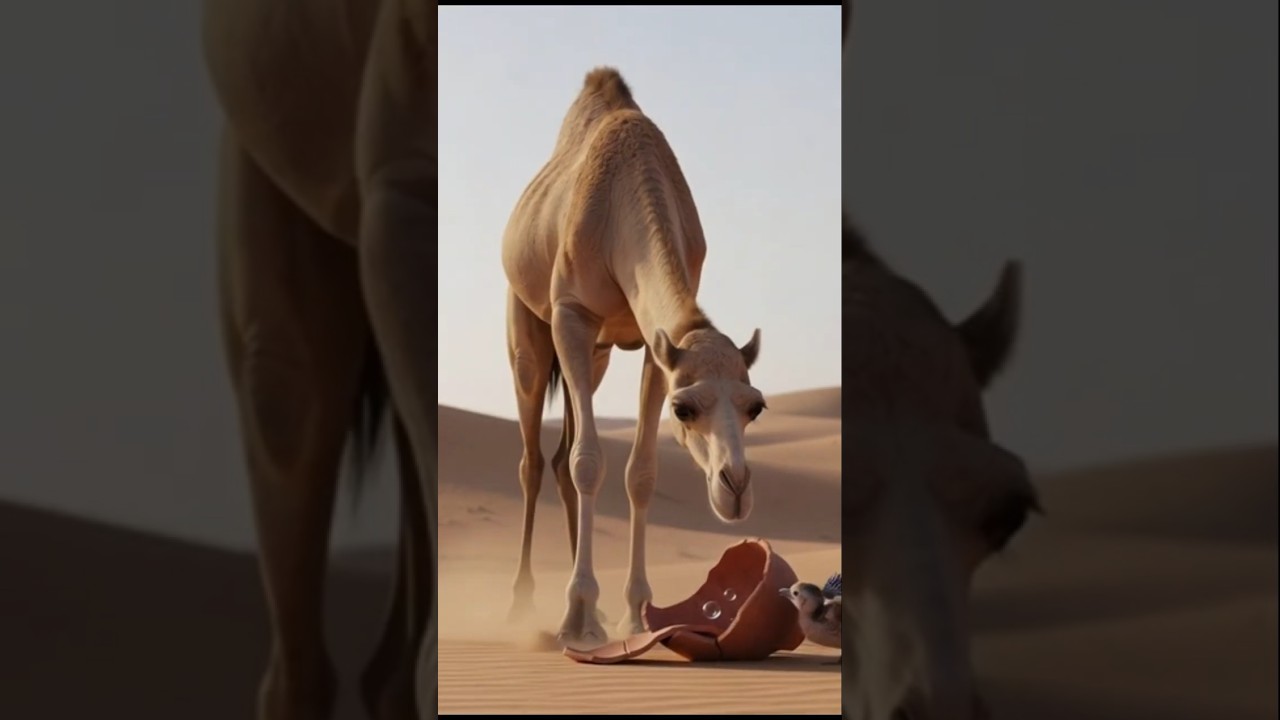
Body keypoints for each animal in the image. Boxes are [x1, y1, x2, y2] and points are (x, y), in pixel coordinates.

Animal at [500, 68, 767, 647]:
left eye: (755, 406)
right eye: (686, 409)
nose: (736, 487)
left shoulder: (655, 347)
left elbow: (639, 472)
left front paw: (635, 612)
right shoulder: (572, 314)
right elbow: (589, 461)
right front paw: (577, 616)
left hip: (597, 354)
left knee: (560, 455)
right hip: (528, 326)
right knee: (533, 458)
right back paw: (524, 603)